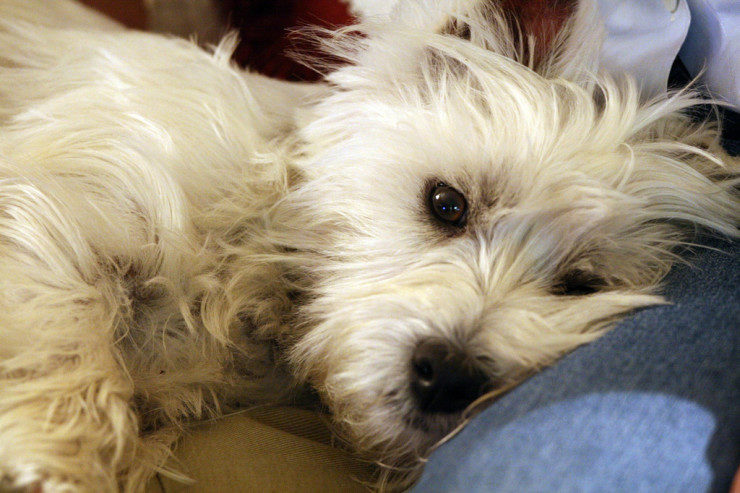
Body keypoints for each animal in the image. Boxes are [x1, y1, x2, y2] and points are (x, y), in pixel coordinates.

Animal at [0, 0, 736, 490]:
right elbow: (68, 346)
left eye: (581, 283)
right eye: (446, 203)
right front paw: (65, 468)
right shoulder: (60, 209)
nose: (449, 376)